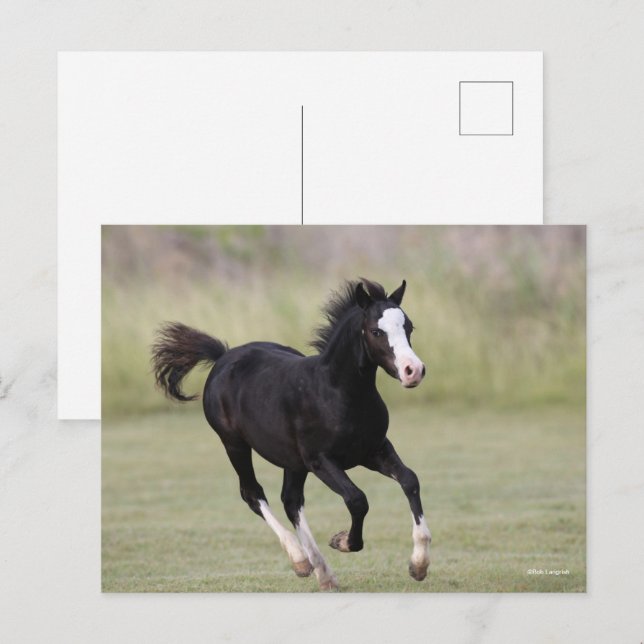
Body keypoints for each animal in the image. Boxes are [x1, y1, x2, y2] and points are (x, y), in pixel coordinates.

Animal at [151, 278, 431, 591]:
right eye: (376, 331)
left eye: (409, 327)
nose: (413, 371)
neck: (337, 392)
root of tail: (223, 356)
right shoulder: (321, 461)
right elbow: (357, 499)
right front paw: (342, 541)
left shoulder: (374, 449)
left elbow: (410, 480)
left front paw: (419, 565)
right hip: (235, 444)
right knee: (253, 493)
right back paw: (301, 561)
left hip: (292, 460)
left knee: (291, 500)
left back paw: (324, 573)